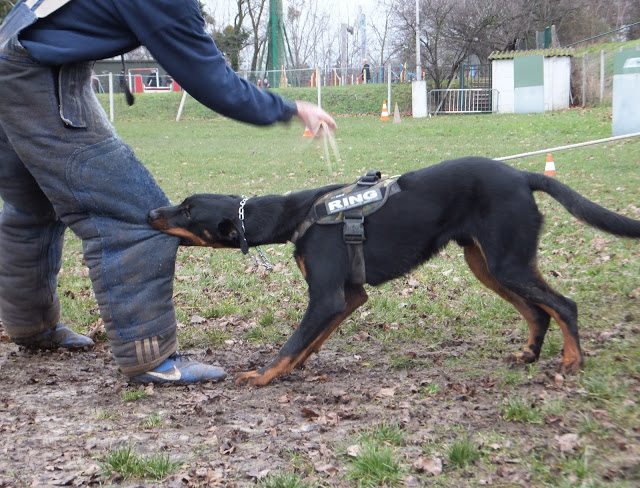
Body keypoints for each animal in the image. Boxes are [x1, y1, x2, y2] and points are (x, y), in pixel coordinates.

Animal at [151, 156, 640, 386]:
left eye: (187, 209)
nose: (153, 212)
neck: (298, 215)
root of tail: (523, 176)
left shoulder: (327, 297)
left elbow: (292, 342)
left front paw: (263, 375)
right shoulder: (348, 297)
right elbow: (310, 342)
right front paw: (295, 368)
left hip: (507, 263)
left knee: (564, 305)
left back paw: (572, 360)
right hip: (486, 264)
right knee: (538, 311)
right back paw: (529, 355)